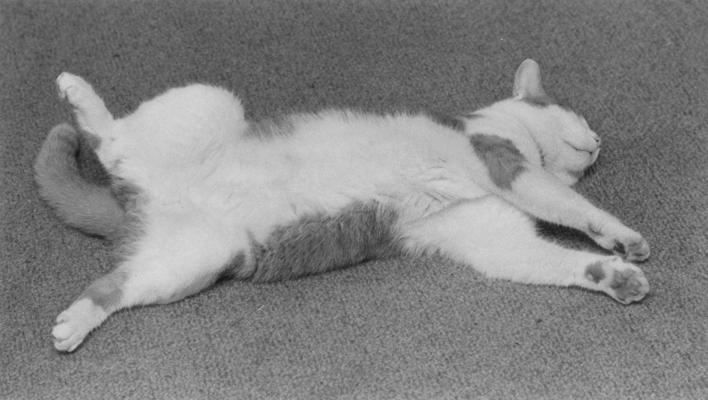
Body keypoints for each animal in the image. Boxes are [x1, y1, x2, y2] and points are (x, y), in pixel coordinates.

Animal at [36, 59, 648, 354]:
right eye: (579, 116)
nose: (599, 141)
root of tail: (133, 200)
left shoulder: (487, 233)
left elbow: (543, 258)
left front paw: (612, 275)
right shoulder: (503, 162)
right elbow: (568, 204)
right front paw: (619, 235)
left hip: (189, 261)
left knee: (114, 285)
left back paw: (74, 323)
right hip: (209, 102)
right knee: (111, 140)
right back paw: (79, 97)